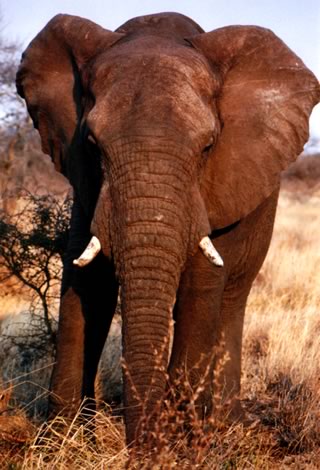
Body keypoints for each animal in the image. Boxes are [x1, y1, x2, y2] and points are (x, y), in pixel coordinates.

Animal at [15, 11, 320, 444]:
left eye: (208, 147)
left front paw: (179, 442)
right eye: (91, 145)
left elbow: (201, 284)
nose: (140, 451)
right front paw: (61, 439)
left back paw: (226, 425)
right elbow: (87, 284)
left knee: (232, 298)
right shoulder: (84, 181)